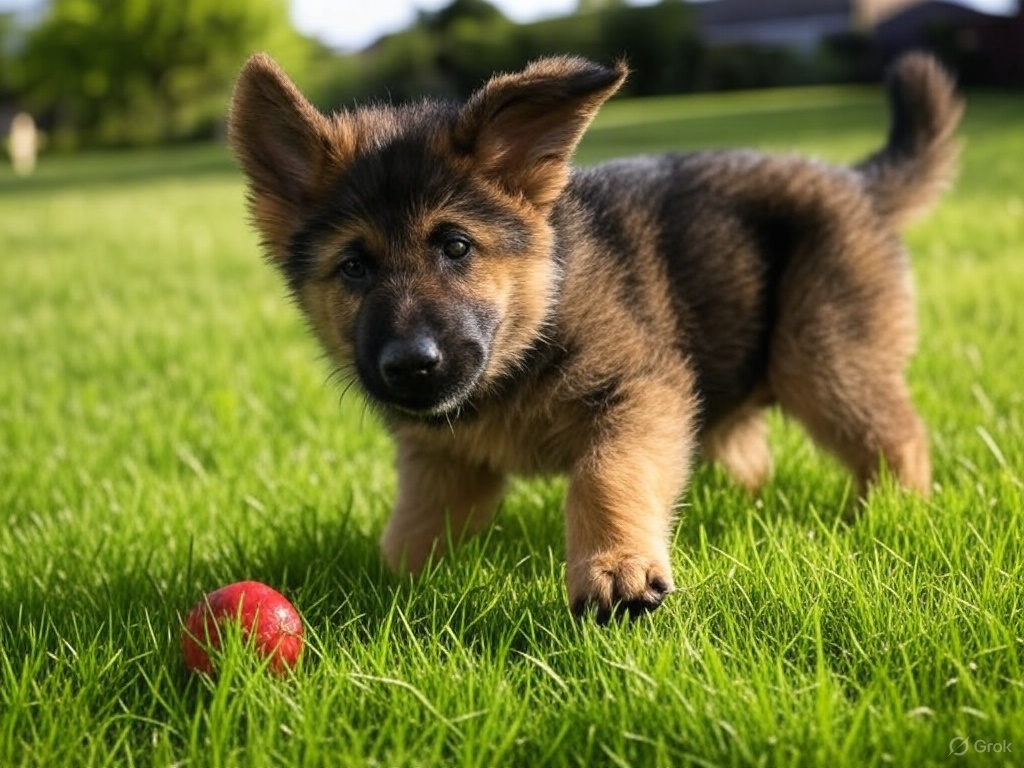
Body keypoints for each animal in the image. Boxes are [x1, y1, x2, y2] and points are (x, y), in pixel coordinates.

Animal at [226, 52, 958, 618]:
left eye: (455, 246)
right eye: (354, 267)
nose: (410, 366)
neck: (528, 330)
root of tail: (857, 182)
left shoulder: (640, 394)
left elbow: (605, 474)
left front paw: (615, 569)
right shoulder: (444, 463)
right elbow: (413, 531)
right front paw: (386, 594)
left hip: (821, 356)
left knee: (897, 438)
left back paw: (890, 518)